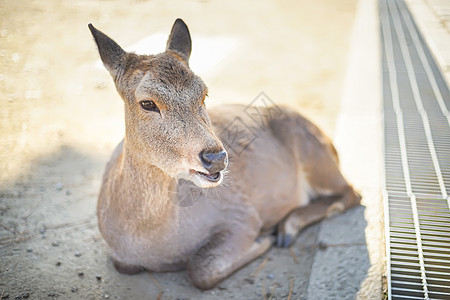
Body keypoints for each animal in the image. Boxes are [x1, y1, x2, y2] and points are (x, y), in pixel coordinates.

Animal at [89, 19, 362, 290]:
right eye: (147, 103)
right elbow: (125, 266)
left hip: (314, 154)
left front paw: (263, 240)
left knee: (352, 192)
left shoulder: (242, 216)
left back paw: (285, 230)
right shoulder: (121, 257)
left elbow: (201, 269)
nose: (216, 158)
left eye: (204, 93)